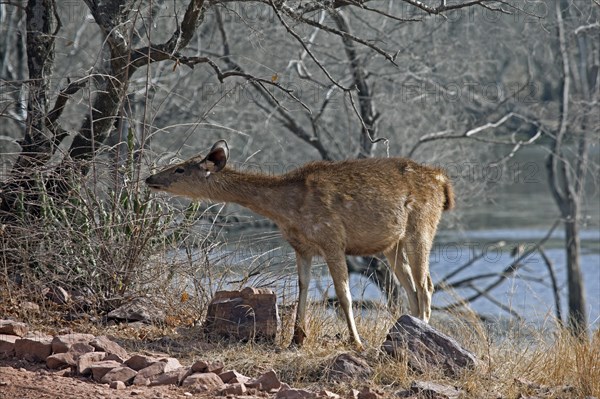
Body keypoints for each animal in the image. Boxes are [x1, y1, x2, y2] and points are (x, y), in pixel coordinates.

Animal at [146, 141, 454, 350]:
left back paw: (422, 331)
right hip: (392, 243)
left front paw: (356, 342)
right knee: (410, 286)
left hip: (422, 226)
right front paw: (296, 338)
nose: (150, 178)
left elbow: (343, 293)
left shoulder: (332, 239)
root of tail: (443, 181)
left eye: (180, 168)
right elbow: (302, 286)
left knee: (425, 284)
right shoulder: (301, 246)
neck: (286, 209)